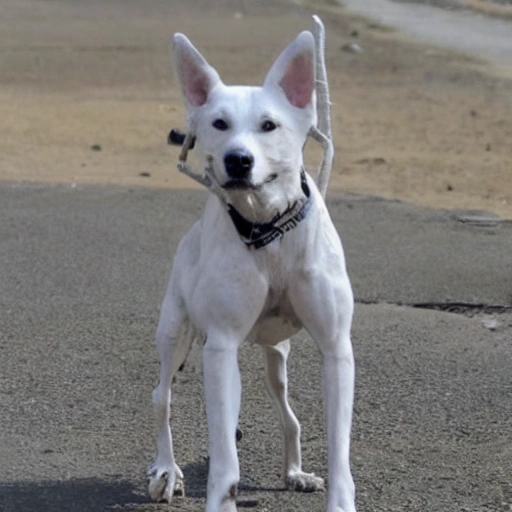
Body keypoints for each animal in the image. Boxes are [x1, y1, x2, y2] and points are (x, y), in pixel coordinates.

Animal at [148, 18, 356, 512]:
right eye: (219, 123)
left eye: (269, 125)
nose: (238, 160)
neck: (267, 229)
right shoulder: (221, 345)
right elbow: (224, 461)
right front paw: (219, 495)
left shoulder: (337, 348)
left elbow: (338, 448)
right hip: (177, 334)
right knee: (162, 397)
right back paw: (167, 470)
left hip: (275, 355)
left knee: (287, 412)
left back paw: (295, 472)